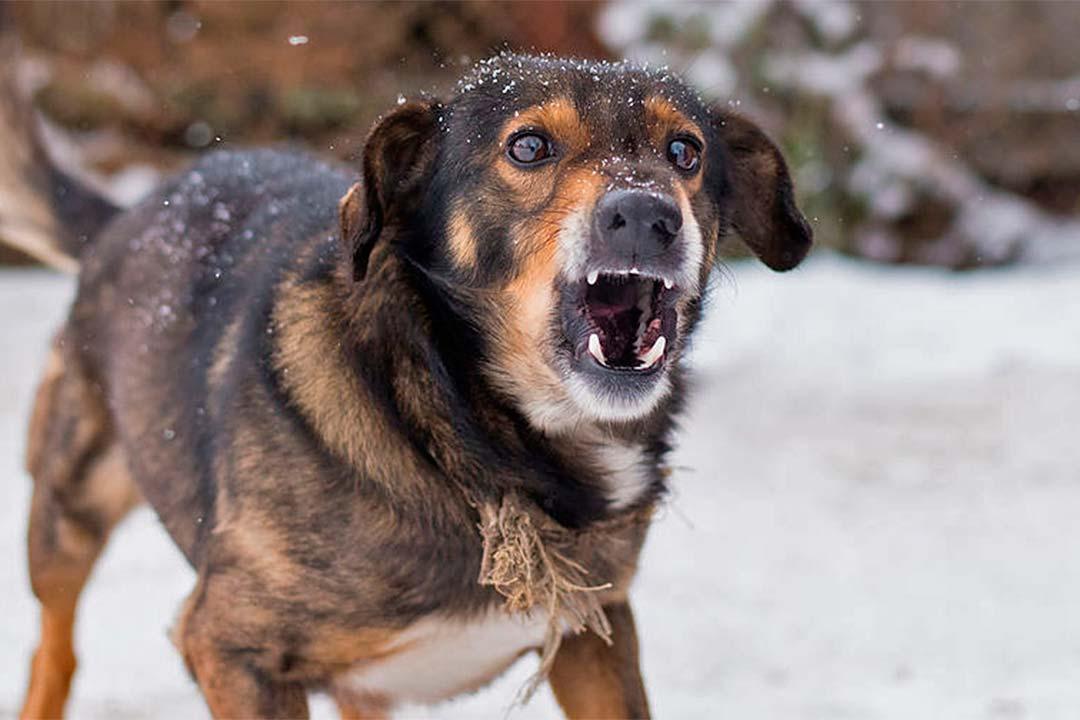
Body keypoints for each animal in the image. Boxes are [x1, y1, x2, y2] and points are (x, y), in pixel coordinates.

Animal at [4, 53, 807, 716]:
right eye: (528, 146)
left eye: (685, 152)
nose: (647, 213)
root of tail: (137, 208)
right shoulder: (228, 646)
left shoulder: (595, 630)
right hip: (69, 506)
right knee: (55, 646)